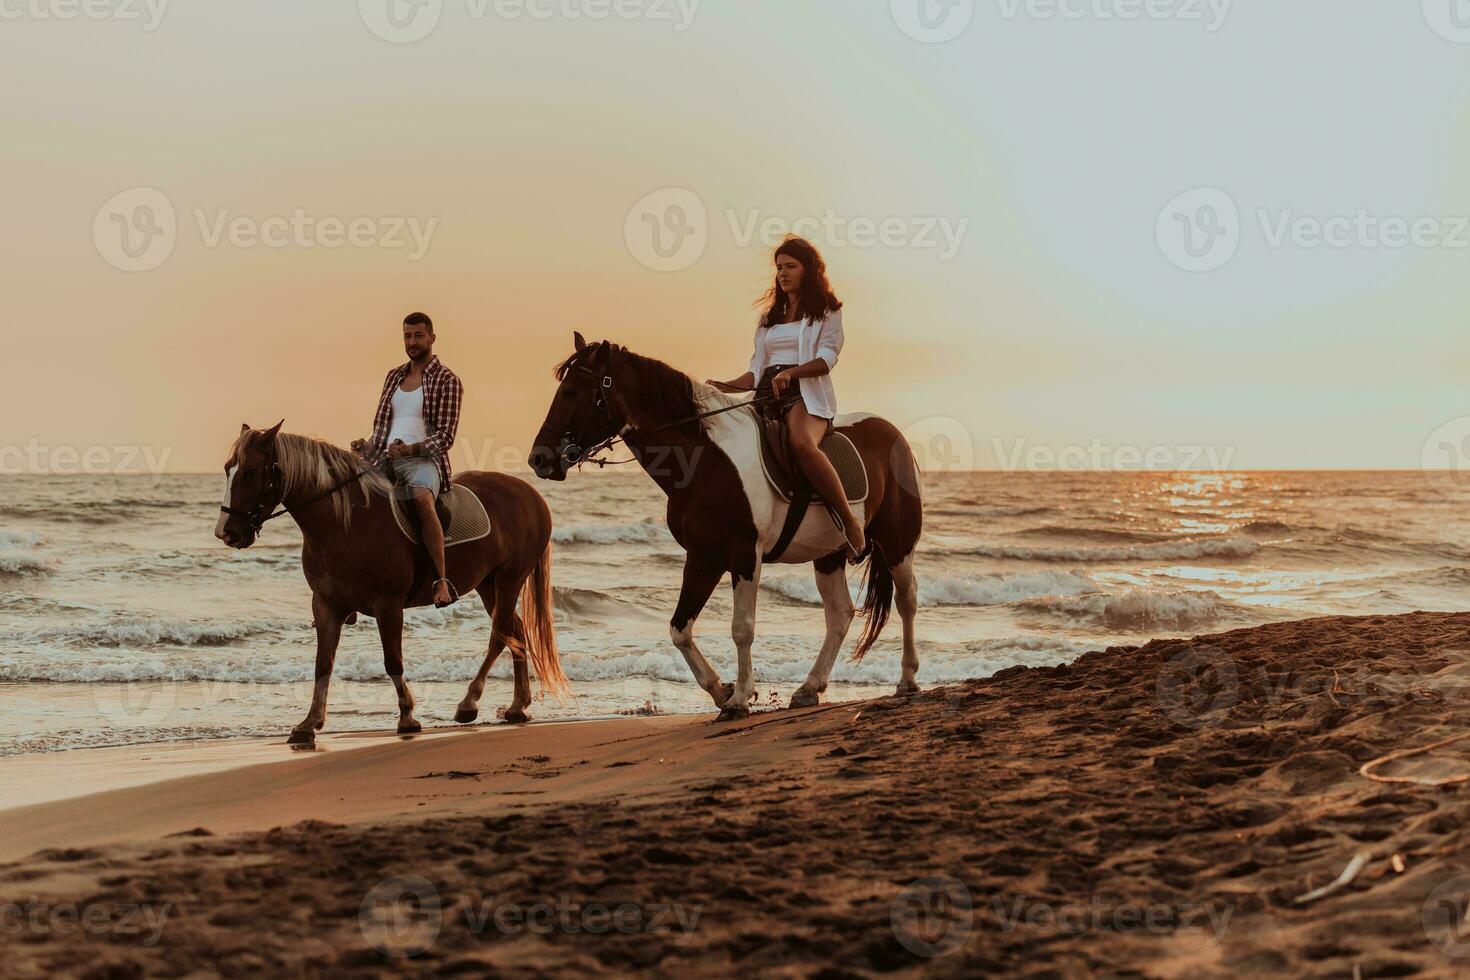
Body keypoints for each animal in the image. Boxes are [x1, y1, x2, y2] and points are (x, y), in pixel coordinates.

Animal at [214, 423, 564, 743]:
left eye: (249, 472)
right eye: (228, 468)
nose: (226, 532)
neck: (345, 523)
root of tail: (531, 494)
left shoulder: (388, 605)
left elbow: (392, 661)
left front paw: (407, 717)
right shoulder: (326, 606)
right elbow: (323, 663)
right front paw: (308, 723)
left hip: (509, 580)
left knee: (499, 636)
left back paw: (468, 703)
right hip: (488, 584)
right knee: (515, 632)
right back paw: (517, 706)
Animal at [526, 334, 917, 719]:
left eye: (571, 391)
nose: (539, 459)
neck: (704, 461)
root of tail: (892, 433)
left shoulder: (744, 555)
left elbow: (742, 629)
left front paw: (739, 699)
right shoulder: (704, 557)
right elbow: (679, 628)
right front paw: (721, 690)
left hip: (897, 543)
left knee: (906, 600)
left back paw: (907, 681)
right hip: (829, 554)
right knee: (839, 615)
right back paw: (809, 689)